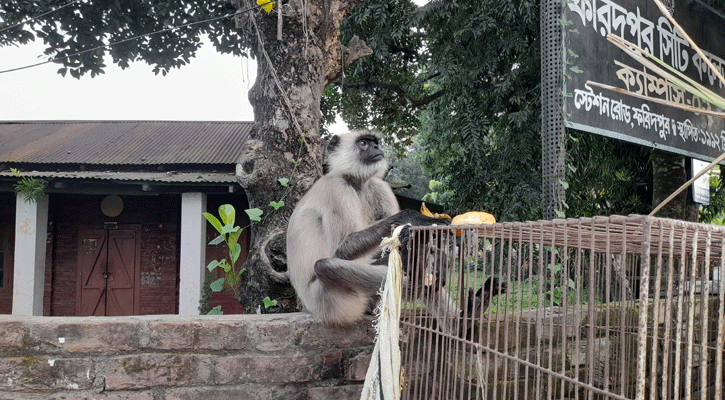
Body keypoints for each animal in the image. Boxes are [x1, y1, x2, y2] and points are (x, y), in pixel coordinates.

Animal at [288, 131, 446, 324]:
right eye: (363, 143)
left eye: (374, 142)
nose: (376, 148)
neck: (355, 182)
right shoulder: (336, 187)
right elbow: (341, 249)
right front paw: (413, 217)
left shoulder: (379, 186)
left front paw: (437, 253)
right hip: (330, 302)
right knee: (324, 266)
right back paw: (413, 287)